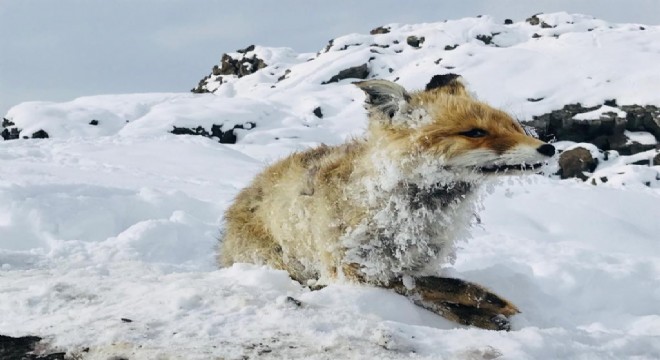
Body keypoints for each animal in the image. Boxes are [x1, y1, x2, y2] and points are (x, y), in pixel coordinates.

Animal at [219, 74, 556, 330]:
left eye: (513, 126)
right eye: (475, 132)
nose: (549, 148)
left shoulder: (414, 262)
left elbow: (424, 287)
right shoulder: (352, 270)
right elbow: (420, 286)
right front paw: (483, 305)